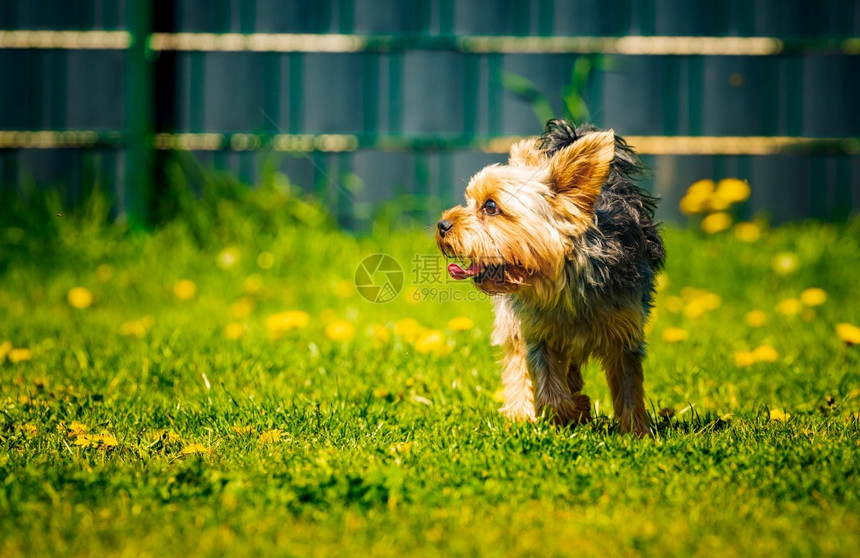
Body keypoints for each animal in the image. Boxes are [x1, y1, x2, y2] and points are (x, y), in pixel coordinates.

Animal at [436, 121, 664, 438]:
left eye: (491, 206)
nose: (442, 224)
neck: (562, 280)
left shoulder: (625, 332)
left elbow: (629, 386)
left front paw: (636, 434)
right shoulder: (536, 334)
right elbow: (550, 390)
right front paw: (576, 409)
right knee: (518, 364)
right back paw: (520, 413)